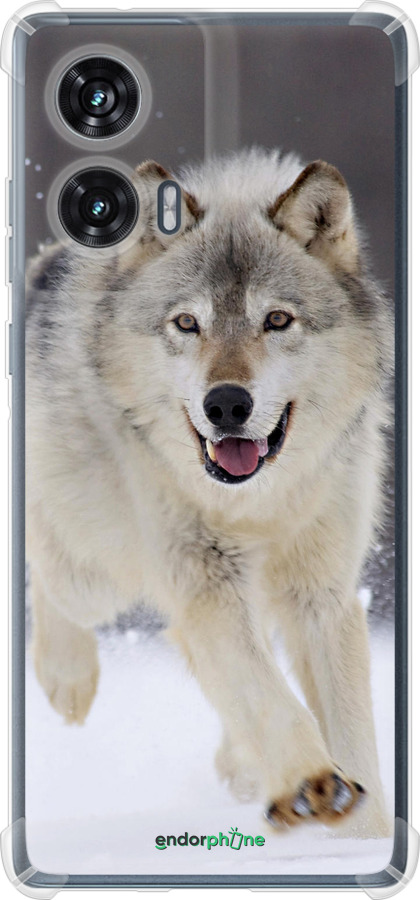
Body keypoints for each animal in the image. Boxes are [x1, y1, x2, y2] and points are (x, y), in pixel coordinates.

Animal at [26, 148, 392, 837]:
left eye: (276, 320)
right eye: (187, 324)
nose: (225, 404)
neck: (257, 504)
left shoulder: (321, 594)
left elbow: (351, 733)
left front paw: (368, 835)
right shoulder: (205, 580)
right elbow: (269, 695)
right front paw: (311, 783)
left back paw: (244, 766)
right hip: (97, 575)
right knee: (50, 580)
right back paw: (68, 678)